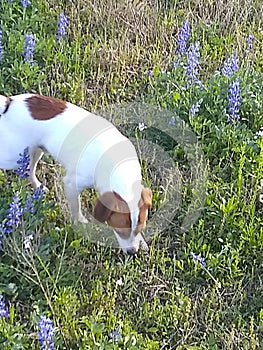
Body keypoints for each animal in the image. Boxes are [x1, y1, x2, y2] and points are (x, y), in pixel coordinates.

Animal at [0, 93, 153, 254]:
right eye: (120, 230)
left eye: (139, 229)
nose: (132, 252)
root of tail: (9, 102)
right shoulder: (71, 184)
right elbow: (76, 209)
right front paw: (81, 223)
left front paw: (142, 242)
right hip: (13, 157)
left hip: (35, 150)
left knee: (29, 170)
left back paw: (39, 188)